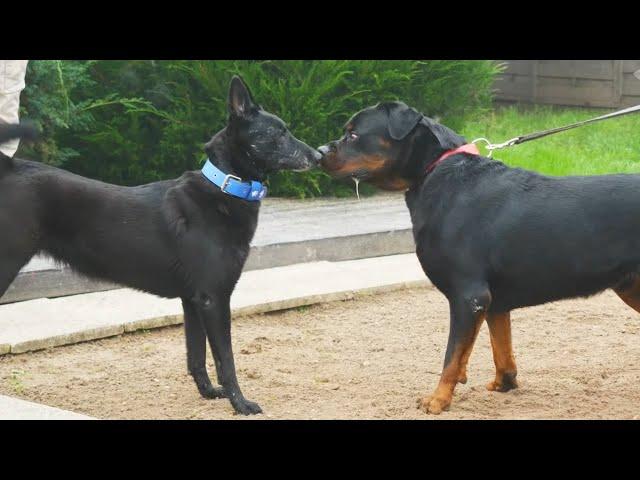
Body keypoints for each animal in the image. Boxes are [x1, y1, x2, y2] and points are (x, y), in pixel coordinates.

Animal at [0, 77, 320, 414]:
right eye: (278, 133)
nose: (319, 156)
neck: (225, 187)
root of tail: (7, 168)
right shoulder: (214, 298)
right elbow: (226, 360)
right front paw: (240, 403)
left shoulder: (193, 300)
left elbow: (196, 356)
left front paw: (209, 393)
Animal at [320, 103, 640, 414]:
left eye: (353, 135)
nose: (321, 151)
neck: (435, 170)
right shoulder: (494, 302)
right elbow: (500, 346)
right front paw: (504, 383)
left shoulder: (469, 295)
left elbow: (452, 355)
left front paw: (438, 400)